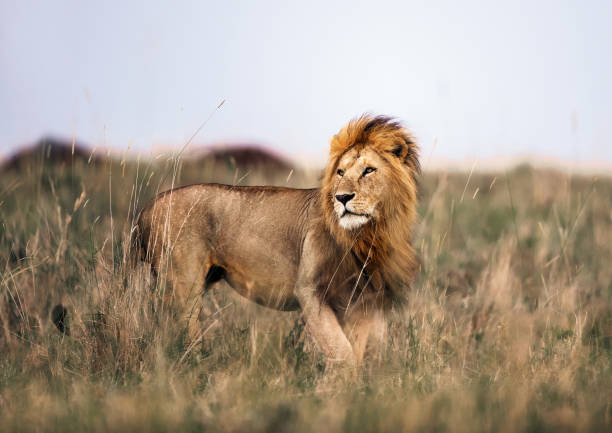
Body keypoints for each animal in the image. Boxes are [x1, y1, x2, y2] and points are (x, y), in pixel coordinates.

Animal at [135, 113, 420, 362]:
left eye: (369, 170)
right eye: (340, 172)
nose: (341, 197)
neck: (369, 235)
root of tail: (148, 206)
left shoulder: (362, 300)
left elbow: (355, 351)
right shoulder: (309, 291)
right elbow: (341, 351)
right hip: (183, 287)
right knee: (178, 333)